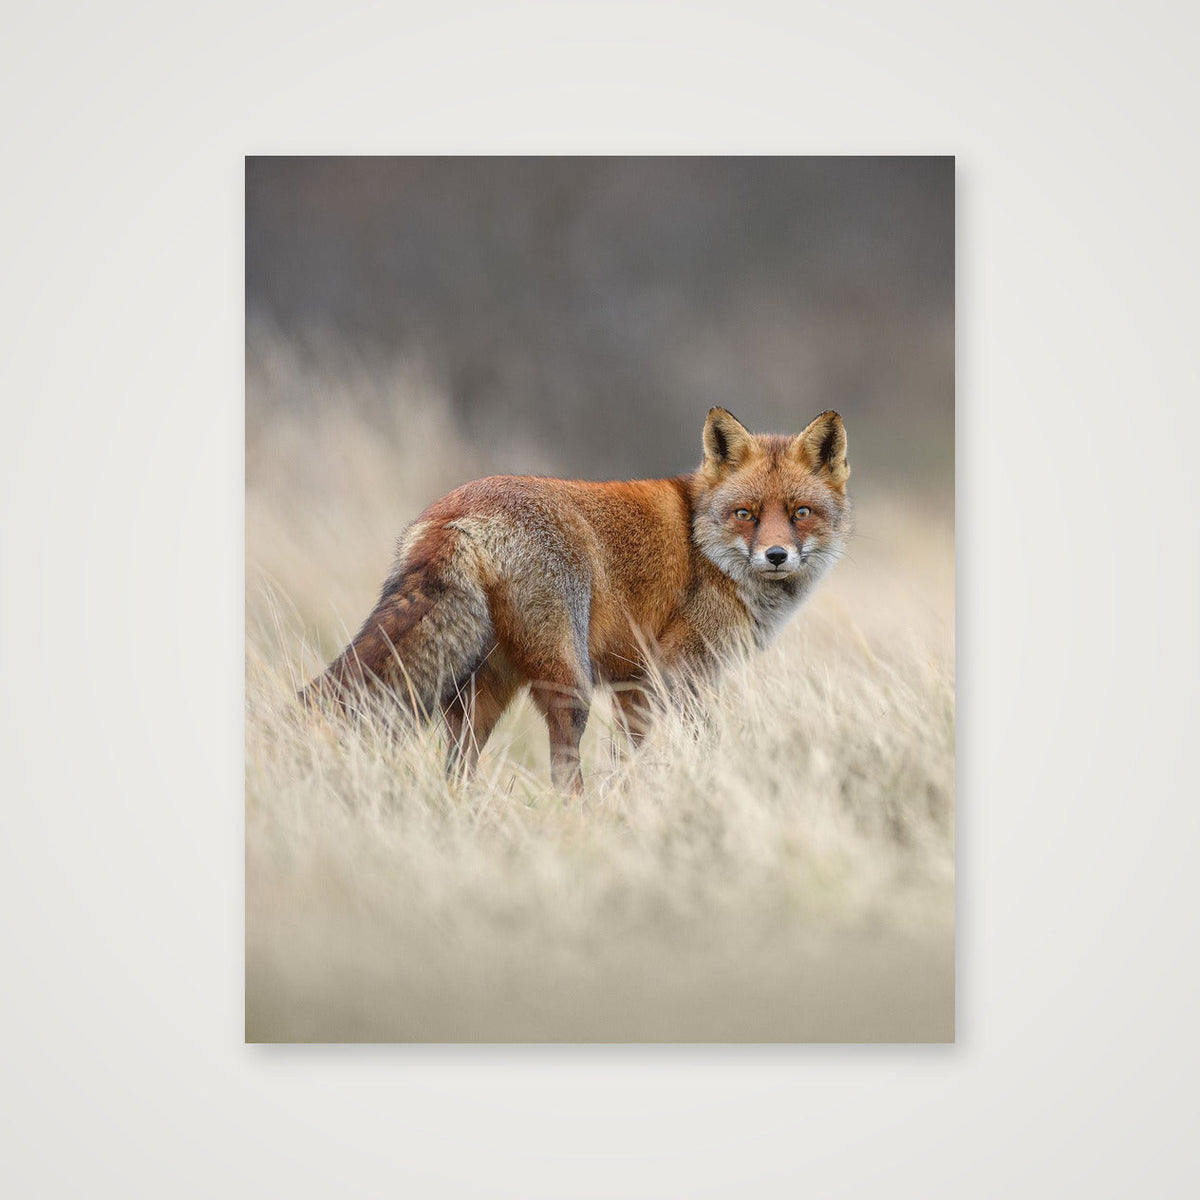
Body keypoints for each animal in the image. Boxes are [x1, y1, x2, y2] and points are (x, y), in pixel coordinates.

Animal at [302, 407, 851, 793]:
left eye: (801, 513)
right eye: (746, 514)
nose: (776, 555)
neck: (704, 545)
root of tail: (456, 513)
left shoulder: (636, 684)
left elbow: (628, 757)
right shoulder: (679, 671)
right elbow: (695, 742)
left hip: (485, 691)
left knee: (459, 761)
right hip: (571, 682)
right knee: (563, 771)